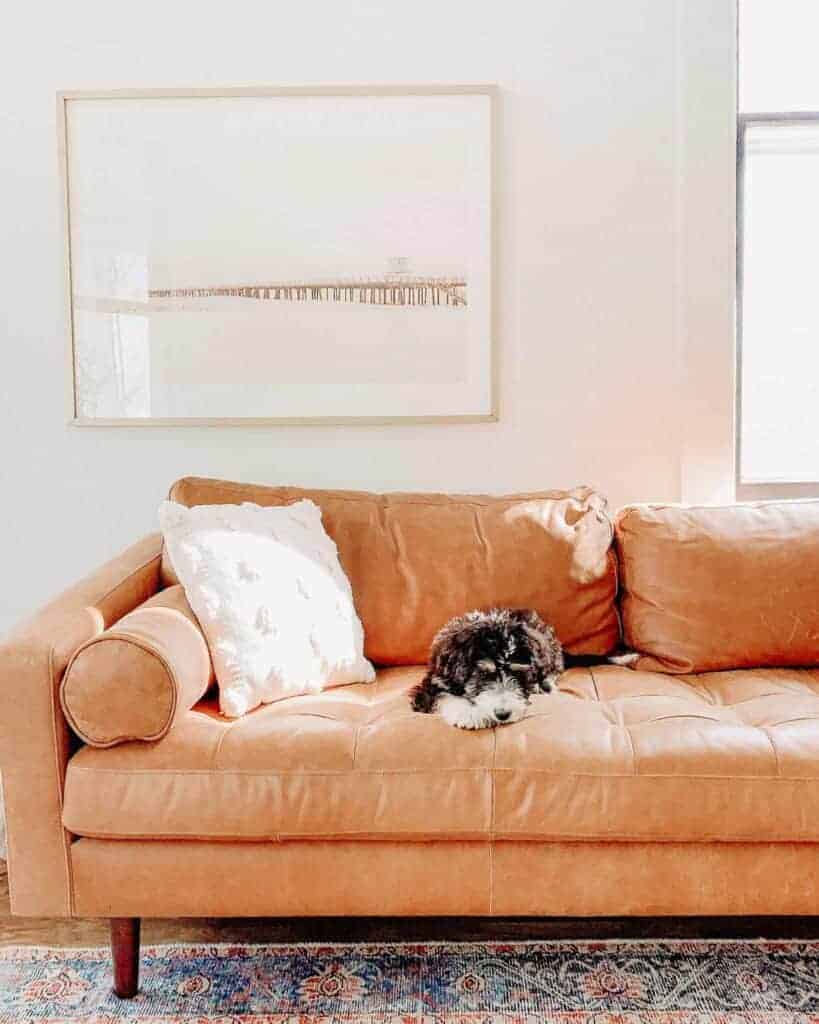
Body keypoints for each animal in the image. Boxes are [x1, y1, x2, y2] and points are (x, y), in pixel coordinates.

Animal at [409, 606, 634, 729]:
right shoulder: (434, 680)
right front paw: (469, 713)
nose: (503, 714)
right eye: (483, 674)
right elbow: (443, 695)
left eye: (518, 673)